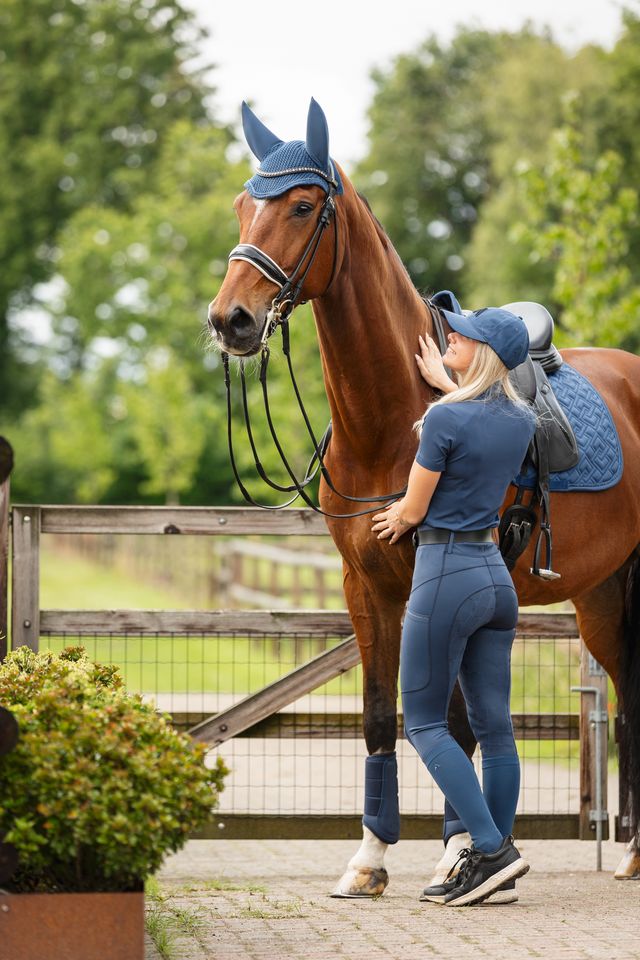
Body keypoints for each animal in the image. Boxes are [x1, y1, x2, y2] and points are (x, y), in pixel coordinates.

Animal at [207, 99, 640, 894]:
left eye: (303, 205)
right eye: (242, 205)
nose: (232, 320)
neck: (392, 419)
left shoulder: (441, 585)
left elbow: (455, 724)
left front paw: (463, 852)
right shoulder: (366, 586)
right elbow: (383, 718)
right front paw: (369, 861)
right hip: (601, 595)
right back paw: (630, 854)